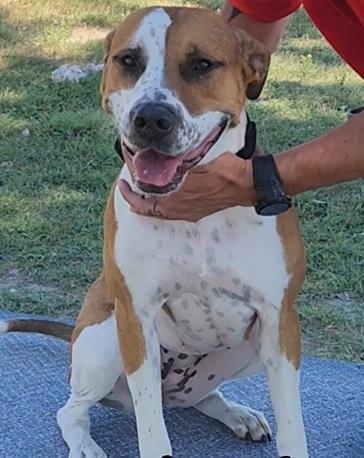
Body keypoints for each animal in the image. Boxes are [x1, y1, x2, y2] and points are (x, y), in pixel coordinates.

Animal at [0, 7, 308, 458]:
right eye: (128, 61)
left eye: (202, 65)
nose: (150, 118)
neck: (194, 214)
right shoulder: (135, 315)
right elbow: (151, 429)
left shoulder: (278, 320)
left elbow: (292, 425)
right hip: (104, 340)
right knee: (71, 409)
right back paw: (85, 444)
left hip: (250, 349)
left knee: (205, 397)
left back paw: (237, 414)